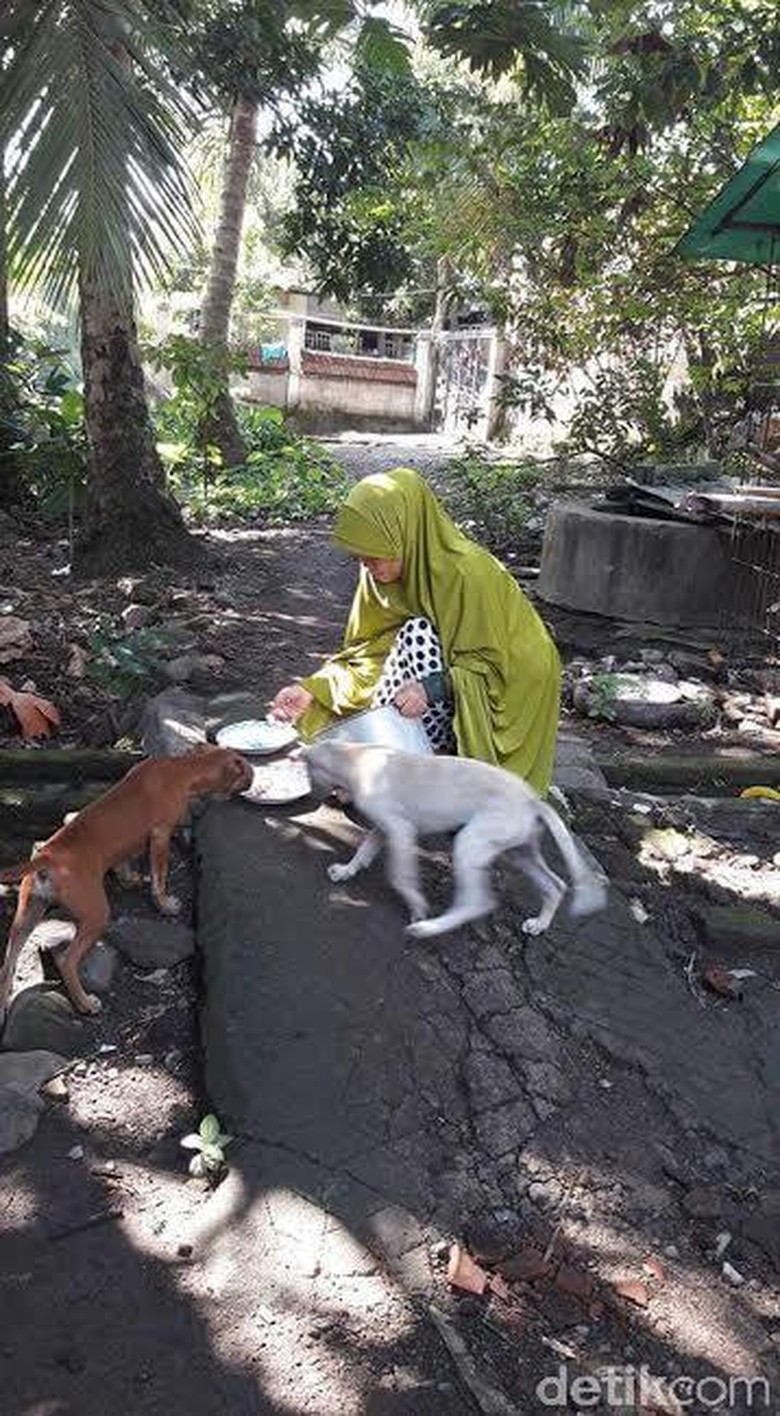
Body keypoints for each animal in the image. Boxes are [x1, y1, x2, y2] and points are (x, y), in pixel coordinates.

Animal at [0, 747, 250, 1013]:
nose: (253, 776)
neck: (182, 767)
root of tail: (46, 858)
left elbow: (123, 863)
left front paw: (130, 880)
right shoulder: (161, 835)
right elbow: (159, 877)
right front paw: (165, 905)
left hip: (26, 916)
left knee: (7, 966)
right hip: (95, 916)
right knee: (67, 962)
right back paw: (85, 1003)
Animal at [305, 741, 611, 940]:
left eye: (308, 771)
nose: (312, 794)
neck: (356, 756)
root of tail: (533, 800)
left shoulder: (401, 830)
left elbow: (400, 877)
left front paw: (417, 906)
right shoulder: (385, 828)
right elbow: (364, 850)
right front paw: (346, 870)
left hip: (471, 843)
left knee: (476, 903)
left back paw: (429, 928)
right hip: (519, 852)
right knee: (556, 885)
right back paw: (540, 924)